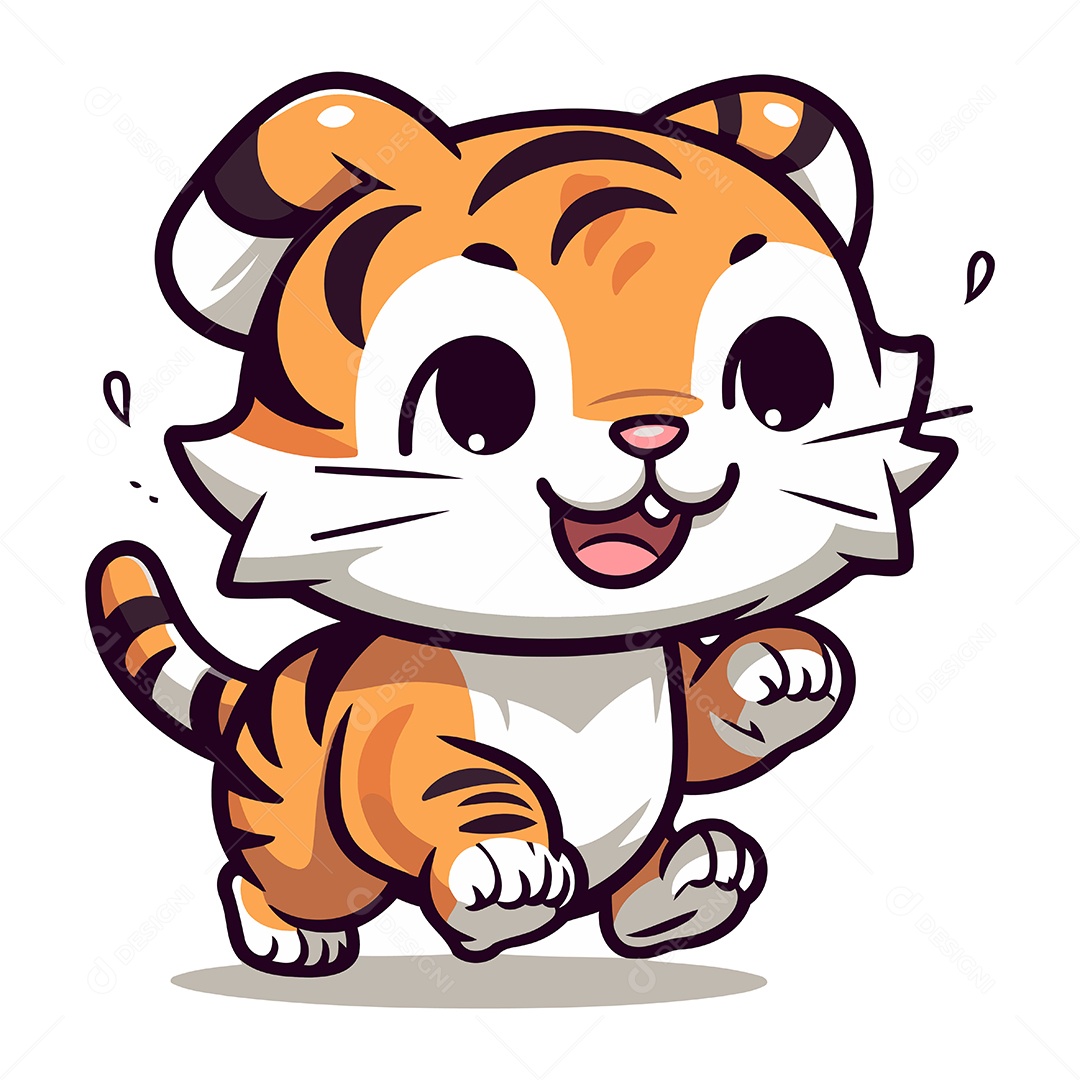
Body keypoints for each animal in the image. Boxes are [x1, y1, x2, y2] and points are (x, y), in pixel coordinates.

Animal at [87, 72, 959, 975]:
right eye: (478, 395)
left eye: (782, 378)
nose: (653, 431)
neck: (571, 659)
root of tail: (261, 686)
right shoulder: (403, 730)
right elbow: (454, 789)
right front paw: (506, 871)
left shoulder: (668, 683)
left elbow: (712, 723)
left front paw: (781, 668)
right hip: (307, 843)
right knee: (279, 877)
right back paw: (291, 935)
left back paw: (686, 884)